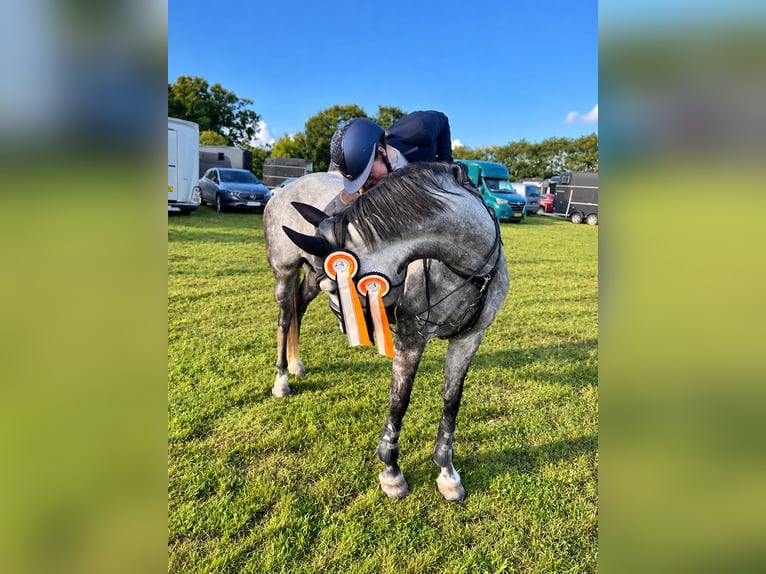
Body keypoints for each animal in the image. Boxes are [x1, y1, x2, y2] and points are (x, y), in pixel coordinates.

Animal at [263, 162, 509, 500]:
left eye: (339, 286)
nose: (346, 325)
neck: (468, 268)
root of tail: (282, 190)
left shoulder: (469, 339)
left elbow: (451, 403)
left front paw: (447, 472)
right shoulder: (410, 338)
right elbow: (399, 401)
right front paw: (391, 471)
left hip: (308, 274)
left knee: (299, 307)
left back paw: (297, 363)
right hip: (285, 272)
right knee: (285, 318)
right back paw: (281, 379)